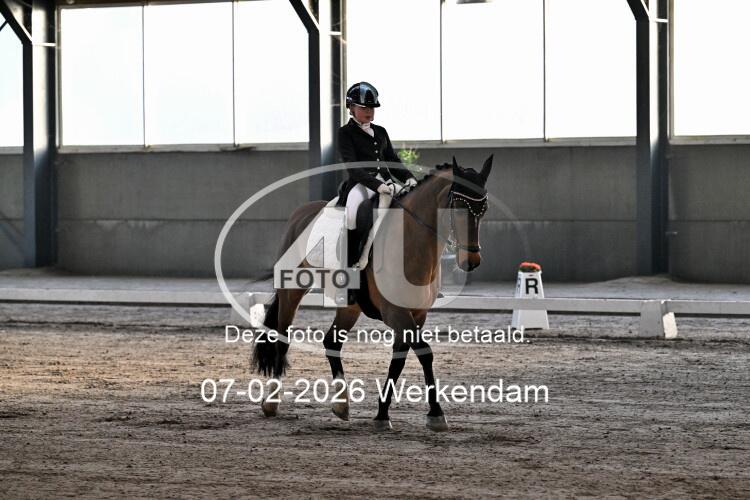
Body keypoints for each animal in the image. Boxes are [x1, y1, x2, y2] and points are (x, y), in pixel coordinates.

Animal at [252, 155, 494, 431]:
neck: (411, 242)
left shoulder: (416, 314)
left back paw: (341, 404)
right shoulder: (396, 313)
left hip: (350, 306)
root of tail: (300, 213)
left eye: (483, 209)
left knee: (331, 342)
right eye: (458, 207)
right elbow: (424, 353)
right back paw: (272, 403)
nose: (471, 262)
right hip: (292, 290)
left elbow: (399, 359)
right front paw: (436, 413)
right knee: (282, 338)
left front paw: (382, 414)